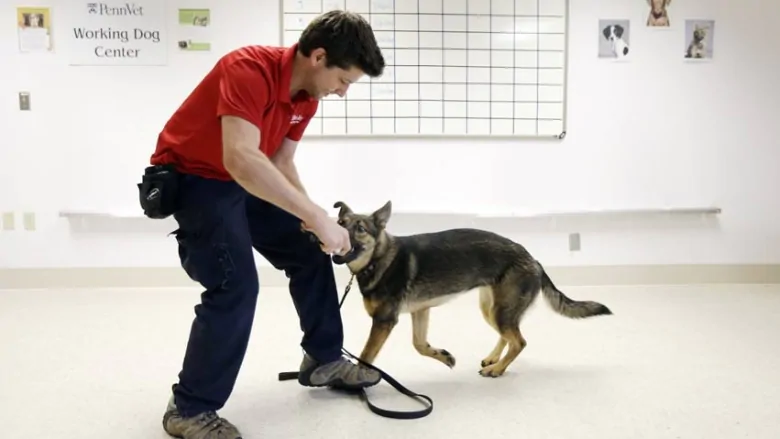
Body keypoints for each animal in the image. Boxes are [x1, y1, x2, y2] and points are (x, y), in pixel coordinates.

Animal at [330, 201, 608, 376]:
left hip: (501, 311)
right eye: (340, 222)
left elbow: (366, 356)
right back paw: (494, 359)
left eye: (360, 228)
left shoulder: (384, 321)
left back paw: (497, 369)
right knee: (508, 336)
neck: (377, 259)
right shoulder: (420, 311)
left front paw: (357, 382)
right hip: (492, 309)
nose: (333, 236)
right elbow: (419, 345)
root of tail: (533, 260)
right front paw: (443, 356)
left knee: (519, 341)